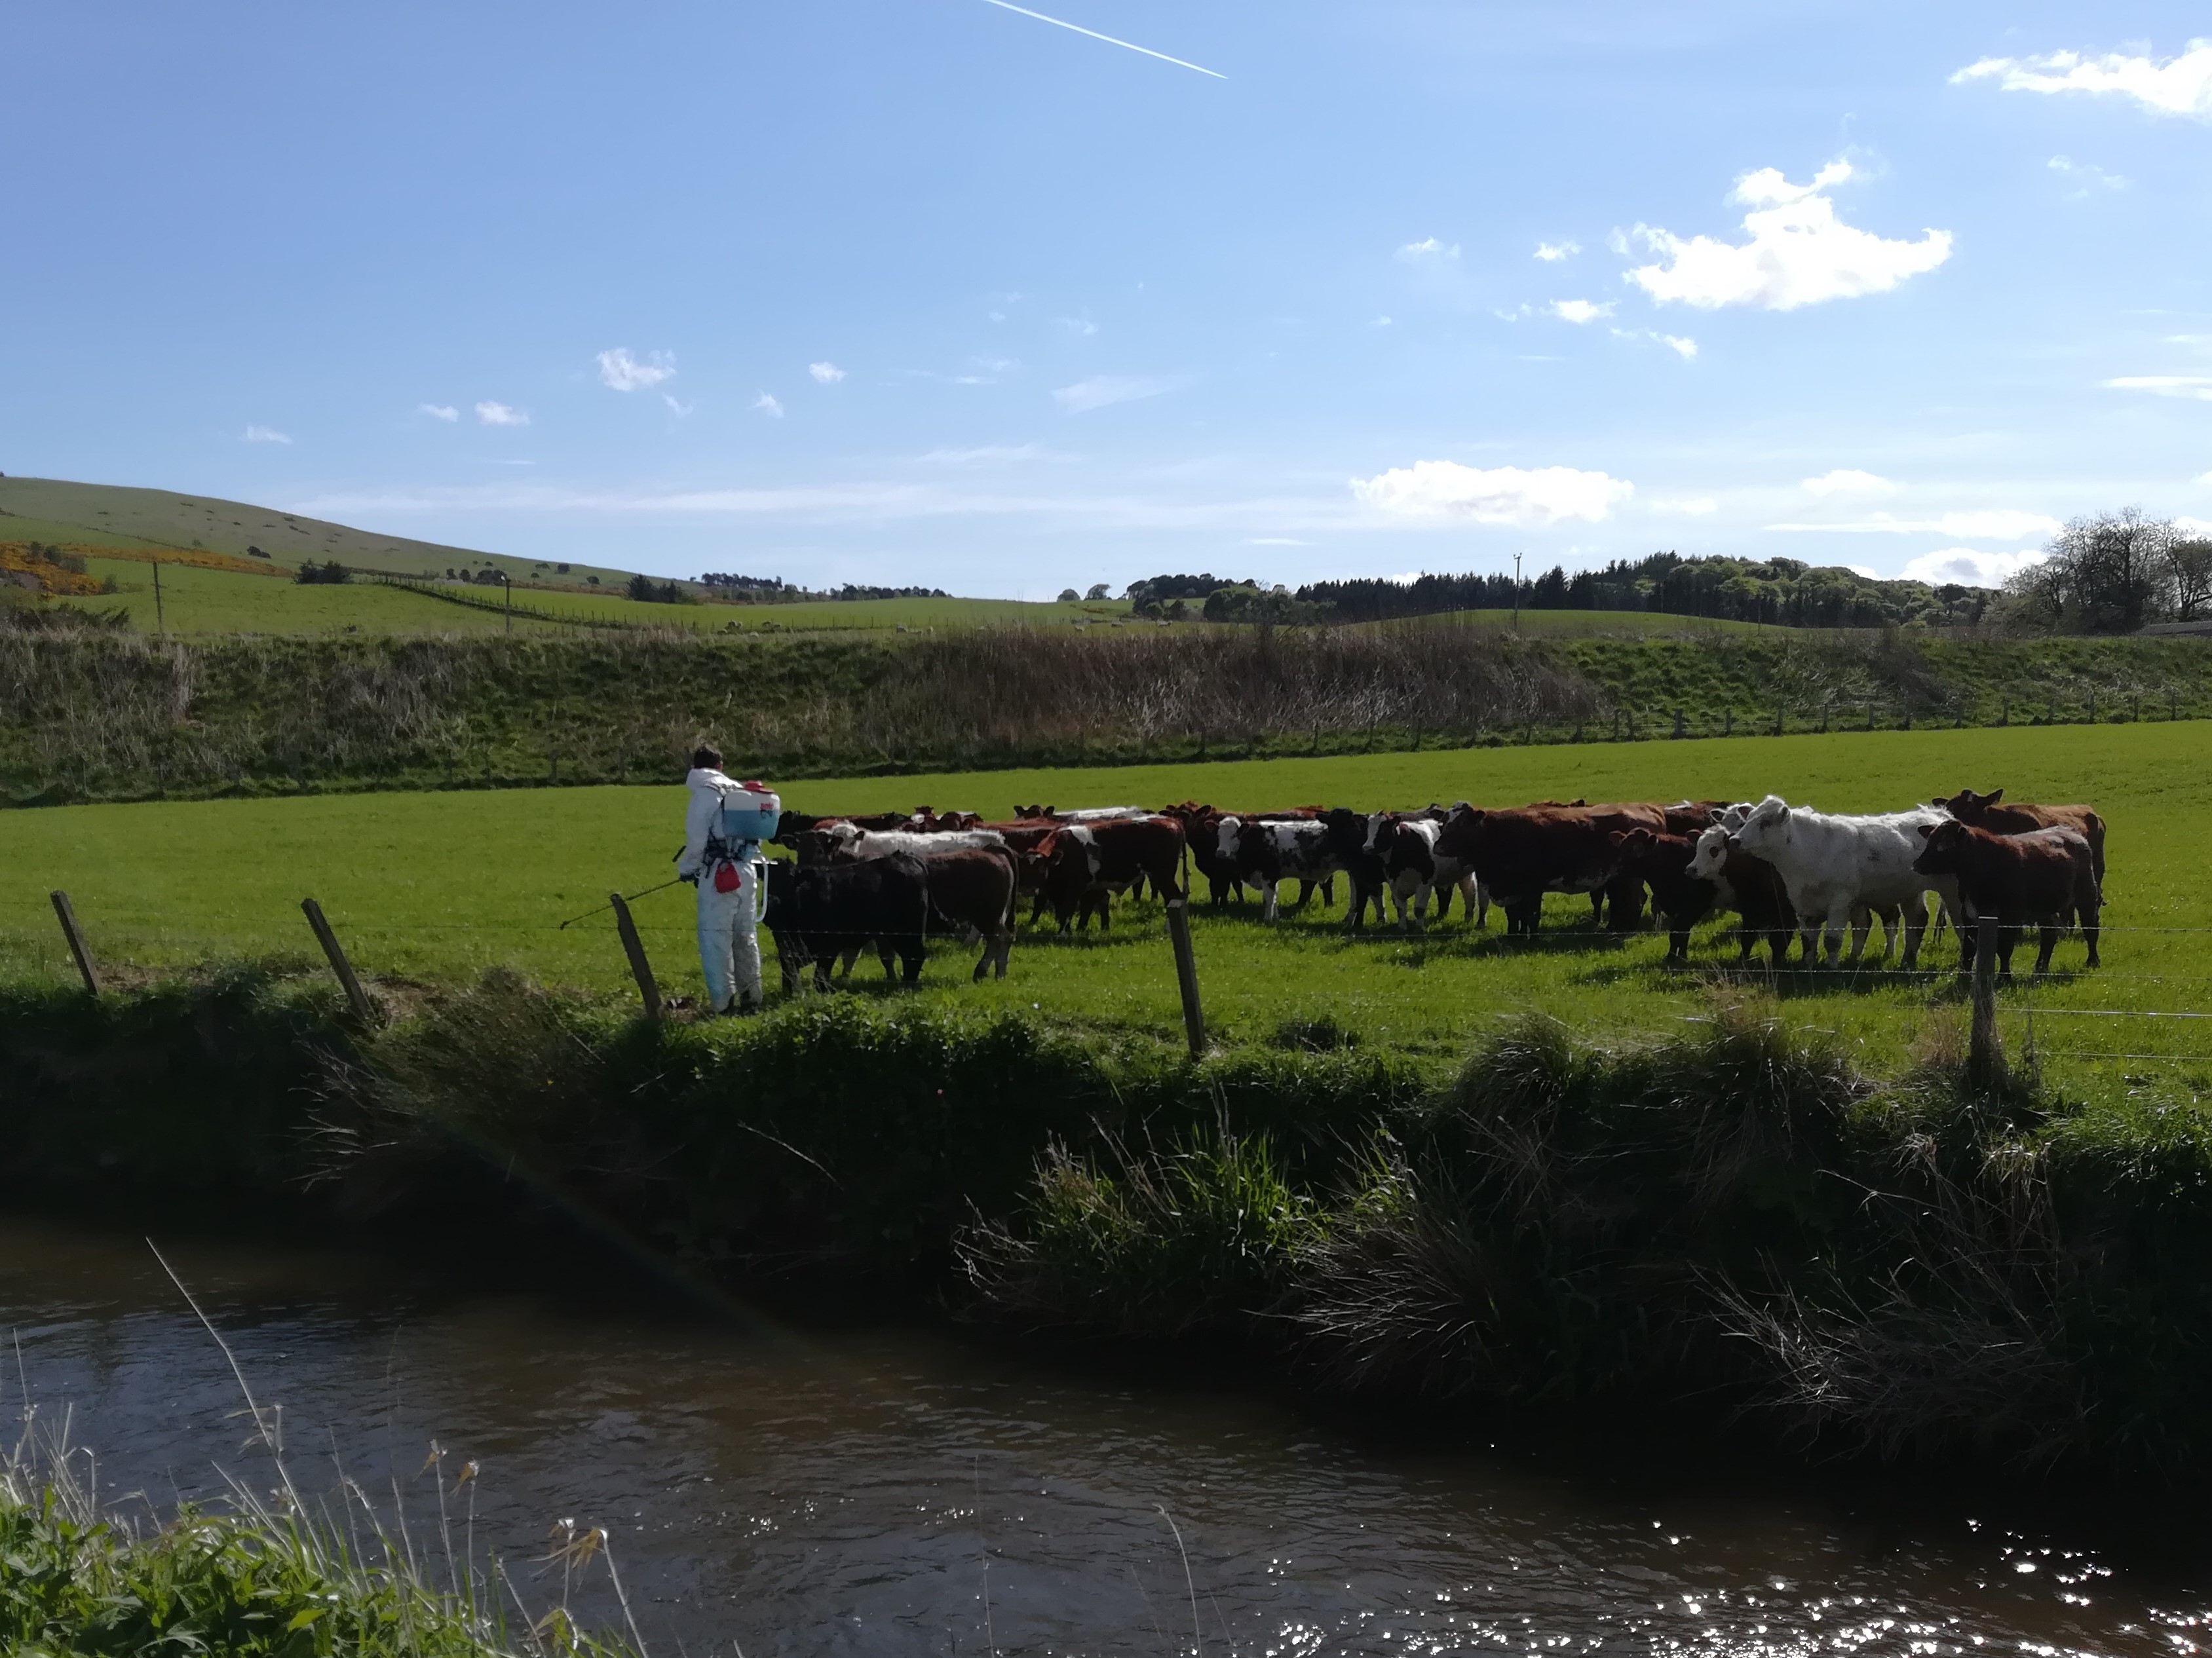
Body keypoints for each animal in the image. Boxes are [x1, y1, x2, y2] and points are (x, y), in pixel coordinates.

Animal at [1725, 795, 1955, 968]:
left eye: (1765, 823)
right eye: (1748, 819)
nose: (1734, 840)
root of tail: (1937, 814)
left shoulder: (1840, 901)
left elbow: (1832, 940)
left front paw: (1832, 967)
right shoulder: (1804, 905)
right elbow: (1808, 940)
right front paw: (1808, 965)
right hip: (1910, 892)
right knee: (1917, 920)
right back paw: (1907, 960)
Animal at [1911, 822, 2097, 981]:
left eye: (1945, 844)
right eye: (1930, 840)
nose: (1917, 864)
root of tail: (2071, 832)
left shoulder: (2010, 916)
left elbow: (2004, 947)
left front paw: (2005, 976)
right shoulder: (1969, 913)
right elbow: (1969, 948)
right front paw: (1963, 977)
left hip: (2087, 896)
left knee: (2091, 928)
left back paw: (2093, 961)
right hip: (2043, 908)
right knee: (2049, 934)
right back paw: (2040, 968)